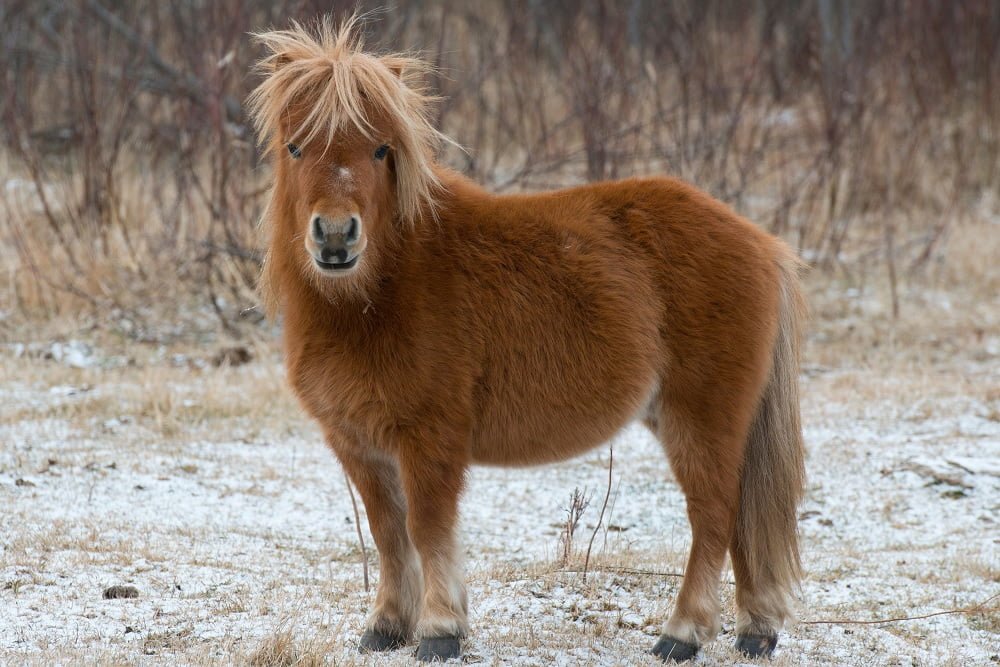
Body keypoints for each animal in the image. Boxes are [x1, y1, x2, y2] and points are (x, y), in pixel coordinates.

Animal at [248, 17, 806, 663]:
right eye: (295, 146)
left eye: (380, 149)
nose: (336, 238)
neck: (377, 295)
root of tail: (760, 242)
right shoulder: (358, 444)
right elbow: (388, 534)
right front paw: (386, 627)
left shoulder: (429, 439)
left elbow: (427, 528)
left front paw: (439, 631)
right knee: (742, 521)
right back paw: (756, 630)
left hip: (702, 419)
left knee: (715, 516)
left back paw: (682, 633)